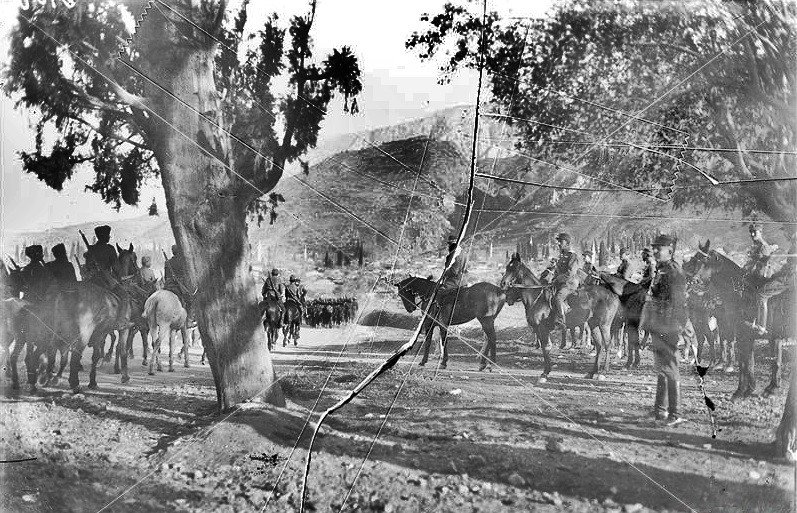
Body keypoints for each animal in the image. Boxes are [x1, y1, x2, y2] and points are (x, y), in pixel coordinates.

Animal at [500, 254, 620, 382]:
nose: (503, 283)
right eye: (507, 267)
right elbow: (546, 348)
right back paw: (592, 372)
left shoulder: (542, 329)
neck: (536, 297)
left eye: (513, 269)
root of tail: (613, 295)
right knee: (599, 346)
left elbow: (546, 348)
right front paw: (546, 371)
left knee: (607, 345)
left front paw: (545, 373)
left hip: (604, 325)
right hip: (594, 325)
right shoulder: (541, 330)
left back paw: (603, 372)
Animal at [688, 240, 792, 400]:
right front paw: (756, 389)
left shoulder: (744, 336)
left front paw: (740, 391)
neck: (742, 294)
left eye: (704, 260)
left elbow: (745, 364)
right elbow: (755, 363)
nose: (694, 281)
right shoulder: (765, 337)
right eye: (695, 258)